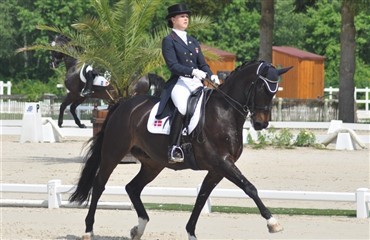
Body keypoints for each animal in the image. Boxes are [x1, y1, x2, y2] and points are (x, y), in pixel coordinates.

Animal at [69, 60, 292, 238]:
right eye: (262, 88)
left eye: (274, 91)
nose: (261, 124)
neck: (224, 112)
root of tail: (123, 104)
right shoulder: (222, 162)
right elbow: (250, 188)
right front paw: (273, 223)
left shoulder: (217, 169)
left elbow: (202, 198)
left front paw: (191, 233)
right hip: (113, 153)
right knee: (99, 185)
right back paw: (88, 231)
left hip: (153, 163)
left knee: (132, 187)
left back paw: (138, 228)